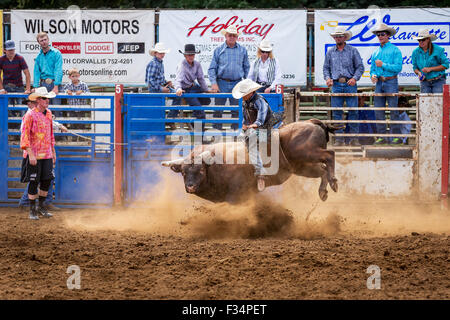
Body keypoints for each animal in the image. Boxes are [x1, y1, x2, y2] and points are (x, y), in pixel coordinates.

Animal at [161, 119, 338, 204]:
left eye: (201, 170)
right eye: (183, 172)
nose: (190, 186)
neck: (217, 164)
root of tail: (311, 122)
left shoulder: (236, 194)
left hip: (307, 153)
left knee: (330, 154)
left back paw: (334, 182)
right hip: (303, 166)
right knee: (322, 170)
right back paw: (323, 191)